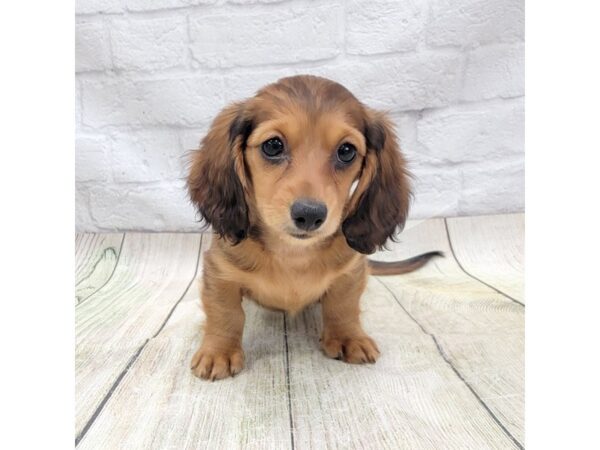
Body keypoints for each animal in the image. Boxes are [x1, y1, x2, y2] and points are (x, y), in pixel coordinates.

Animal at [188, 74, 440, 380]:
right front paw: (219, 352)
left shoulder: (351, 271)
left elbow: (343, 306)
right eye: (273, 146)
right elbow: (225, 313)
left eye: (347, 151)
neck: (293, 253)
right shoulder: (220, 272)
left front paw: (348, 337)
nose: (309, 215)